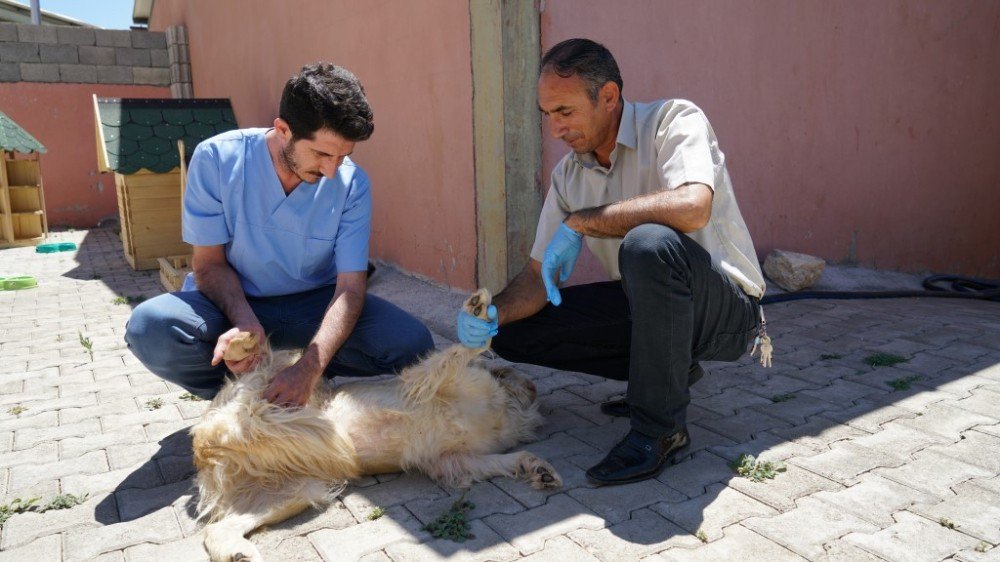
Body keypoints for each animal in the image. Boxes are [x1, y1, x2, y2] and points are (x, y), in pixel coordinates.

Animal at [191, 288, 560, 560]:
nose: (532, 389)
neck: (505, 407)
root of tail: (206, 445)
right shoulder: (430, 381)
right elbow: (471, 347)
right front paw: (479, 311)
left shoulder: (453, 460)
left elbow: (507, 459)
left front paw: (538, 468)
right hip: (283, 380)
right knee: (262, 361)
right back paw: (242, 344)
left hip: (298, 489)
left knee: (217, 529)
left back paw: (239, 553)